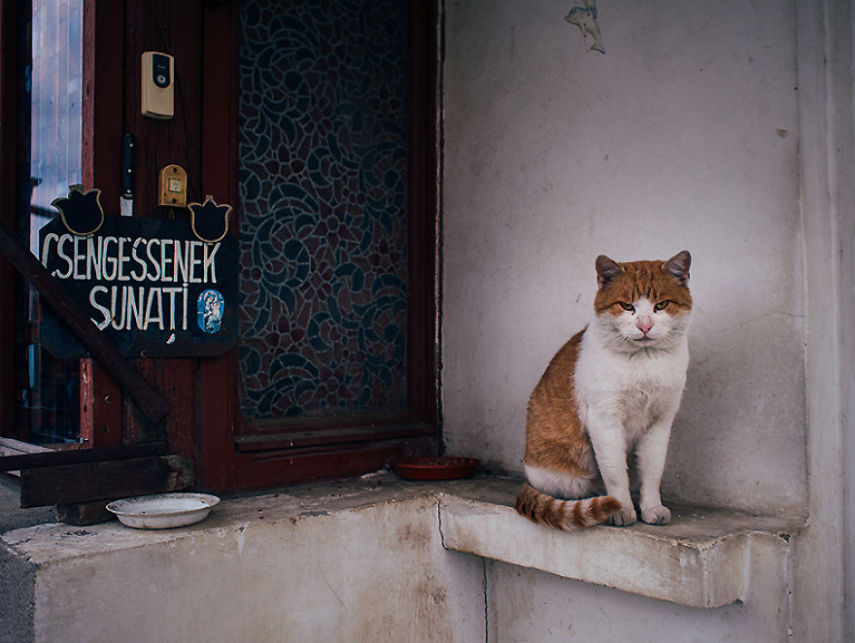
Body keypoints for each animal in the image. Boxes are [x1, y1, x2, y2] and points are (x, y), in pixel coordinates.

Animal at [512, 253, 692, 532]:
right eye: (627, 306)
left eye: (661, 305)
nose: (645, 326)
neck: (644, 361)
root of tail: (527, 478)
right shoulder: (605, 421)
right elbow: (616, 474)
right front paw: (622, 509)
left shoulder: (660, 423)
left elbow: (652, 473)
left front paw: (651, 509)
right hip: (571, 479)